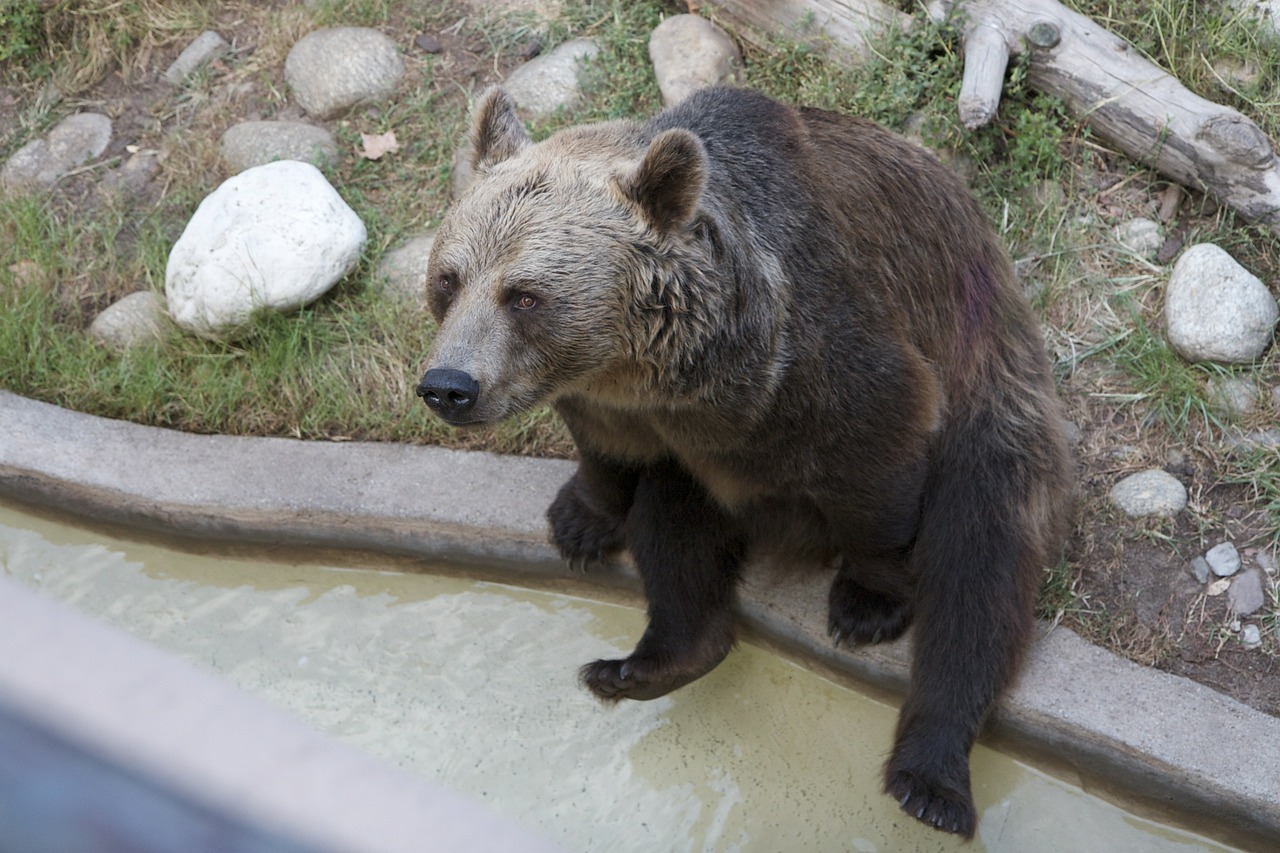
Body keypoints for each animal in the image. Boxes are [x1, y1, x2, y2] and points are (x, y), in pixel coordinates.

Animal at [417, 86, 1070, 835]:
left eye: (524, 295)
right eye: (449, 278)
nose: (449, 385)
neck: (666, 374)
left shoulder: (822, 357)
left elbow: (881, 461)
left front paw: (869, 599)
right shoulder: (624, 406)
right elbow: (609, 456)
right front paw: (579, 520)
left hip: (991, 404)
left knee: (978, 573)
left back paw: (929, 783)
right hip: (702, 478)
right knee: (675, 535)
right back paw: (642, 665)